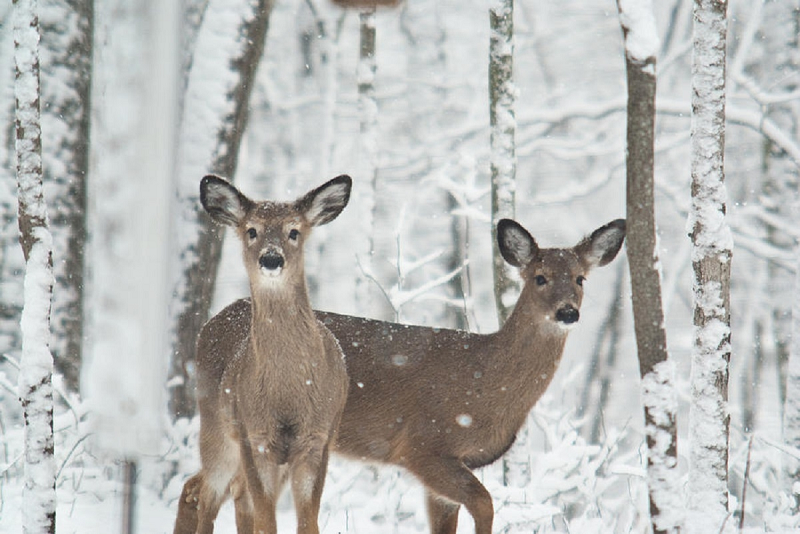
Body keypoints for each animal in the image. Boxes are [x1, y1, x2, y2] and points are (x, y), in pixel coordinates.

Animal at [175, 216, 626, 534]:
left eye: (581, 278)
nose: (568, 312)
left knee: (217, 492)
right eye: (539, 278)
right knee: (202, 489)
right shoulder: (423, 445)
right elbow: (485, 503)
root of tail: (208, 325)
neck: (485, 382)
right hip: (229, 425)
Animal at [178, 174, 352, 534]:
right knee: (207, 494)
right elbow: (266, 519)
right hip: (215, 428)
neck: (287, 394)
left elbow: (307, 521)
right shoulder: (254, 436)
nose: (271, 259)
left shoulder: (318, 439)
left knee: (231, 495)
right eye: (252, 230)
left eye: (294, 230)